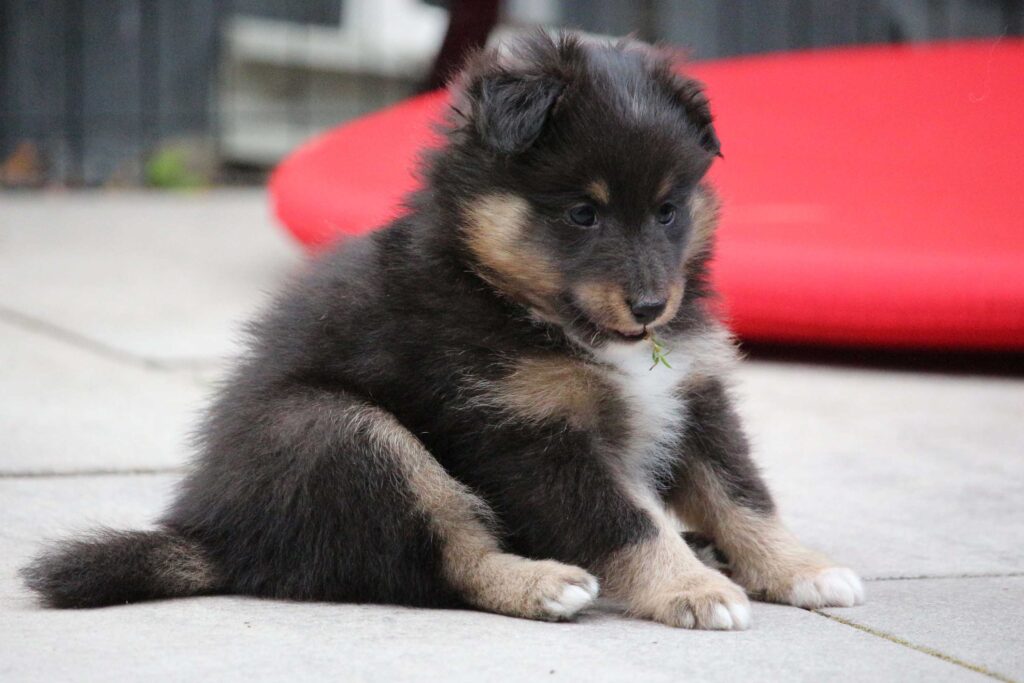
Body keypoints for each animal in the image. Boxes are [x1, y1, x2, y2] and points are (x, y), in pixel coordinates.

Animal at [23, 31, 864, 630]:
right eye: (581, 212)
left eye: (667, 209)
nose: (653, 306)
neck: (510, 297)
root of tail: (213, 535)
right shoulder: (527, 432)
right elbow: (624, 518)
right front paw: (693, 588)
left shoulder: (693, 392)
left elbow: (743, 494)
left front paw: (799, 566)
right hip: (338, 431)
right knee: (448, 560)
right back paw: (542, 581)